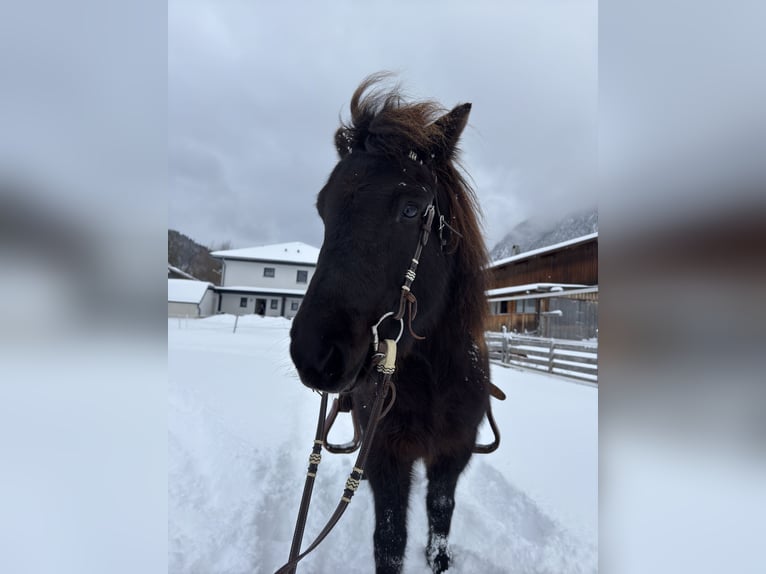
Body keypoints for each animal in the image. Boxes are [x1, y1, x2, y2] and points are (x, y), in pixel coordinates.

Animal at [289, 74, 491, 574]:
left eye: (412, 209)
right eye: (323, 209)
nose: (314, 352)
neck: (434, 375)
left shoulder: (453, 453)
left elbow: (440, 512)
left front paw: (438, 556)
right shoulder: (385, 455)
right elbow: (389, 538)